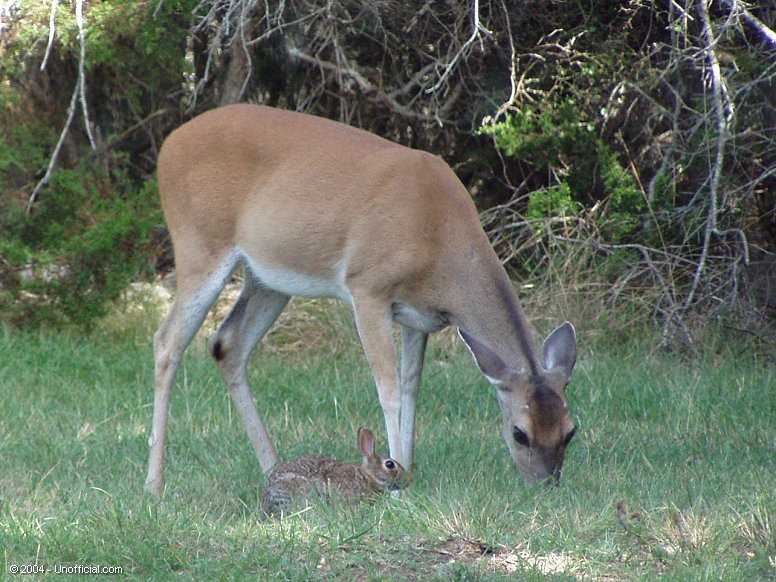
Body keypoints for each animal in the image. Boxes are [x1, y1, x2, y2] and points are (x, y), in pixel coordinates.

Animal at [146, 104, 576, 498]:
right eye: (519, 433)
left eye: (571, 431)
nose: (546, 486)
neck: (437, 235)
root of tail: (168, 145)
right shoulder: (368, 287)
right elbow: (388, 388)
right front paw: (398, 483)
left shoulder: (418, 318)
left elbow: (411, 386)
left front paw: (408, 470)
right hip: (199, 246)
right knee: (167, 342)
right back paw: (155, 484)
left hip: (267, 278)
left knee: (227, 344)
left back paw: (271, 467)